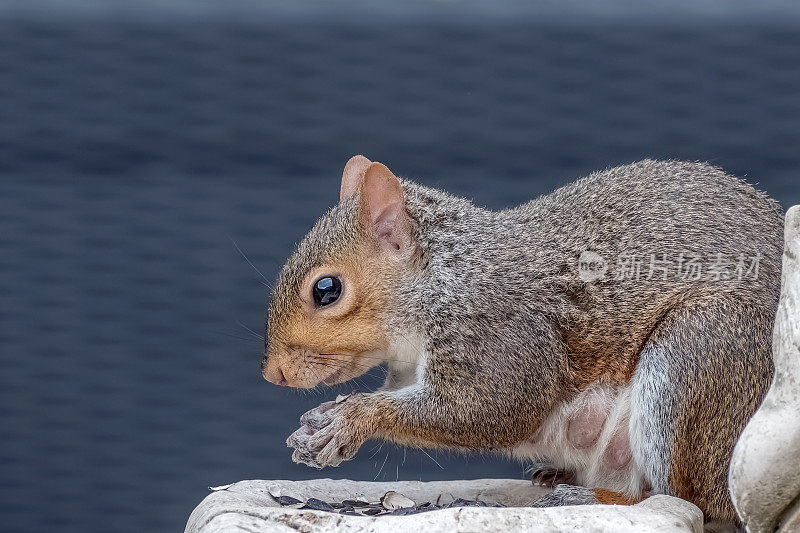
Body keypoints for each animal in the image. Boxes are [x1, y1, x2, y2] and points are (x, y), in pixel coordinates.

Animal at [260, 156, 780, 524]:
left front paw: (350, 420)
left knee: (688, 501)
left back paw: (593, 497)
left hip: (696, 359)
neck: (444, 276)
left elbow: (491, 407)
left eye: (326, 290)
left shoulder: (498, 331)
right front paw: (316, 423)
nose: (273, 374)